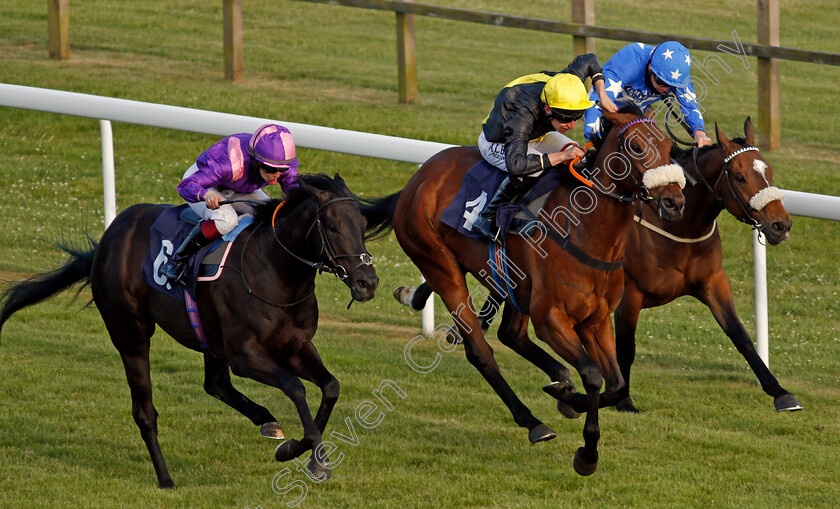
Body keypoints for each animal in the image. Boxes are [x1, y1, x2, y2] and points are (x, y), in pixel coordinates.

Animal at [0, 173, 378, 486]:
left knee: (216, 385)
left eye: (362, 223)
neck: (275, 272)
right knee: (145, 411)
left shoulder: (295, 346)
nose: (367, 282)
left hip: (208, 338)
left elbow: (330, 387)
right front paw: (300, 453)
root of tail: (110, 237)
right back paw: (165, 478)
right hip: (130, 333)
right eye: (331, 226)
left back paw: (266, 420)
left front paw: (311, 458)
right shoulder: (245, 355)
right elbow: (296, 388)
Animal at [476, 52, 620, 239]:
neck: (543, 107)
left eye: (576, 116)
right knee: (527, 172)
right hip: (491, 148)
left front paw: (606, 100)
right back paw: (484, 221)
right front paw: (571, 153)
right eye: (566, 117)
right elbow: (516, 162)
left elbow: (585, 59)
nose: (572, 125)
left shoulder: (571, 73)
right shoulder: (519, 116)